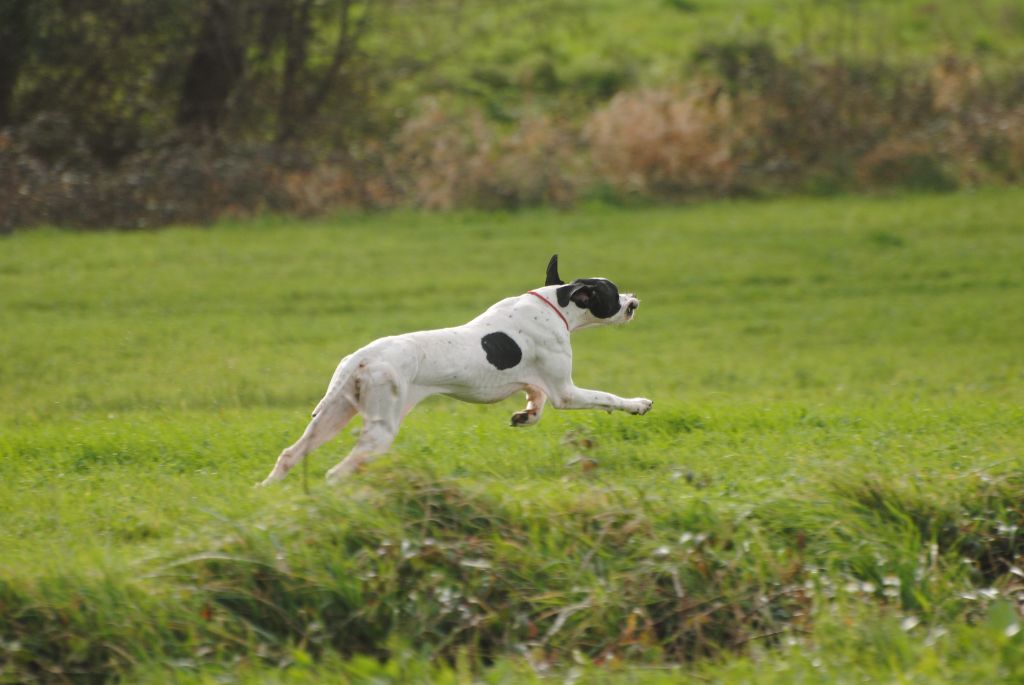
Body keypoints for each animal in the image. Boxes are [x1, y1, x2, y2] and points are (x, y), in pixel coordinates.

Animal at [260, 253, 651, 483]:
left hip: (333, 416)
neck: (554, 304)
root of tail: (363, 359)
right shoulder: (566, 393)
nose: (634, 300)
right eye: (613, 293)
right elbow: (607, 397)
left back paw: (270, 492)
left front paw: (524, 417)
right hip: (379, 430)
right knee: (335, 472)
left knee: (290, 455)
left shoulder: (534, 384)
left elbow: (534, 401)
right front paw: (638, 404)